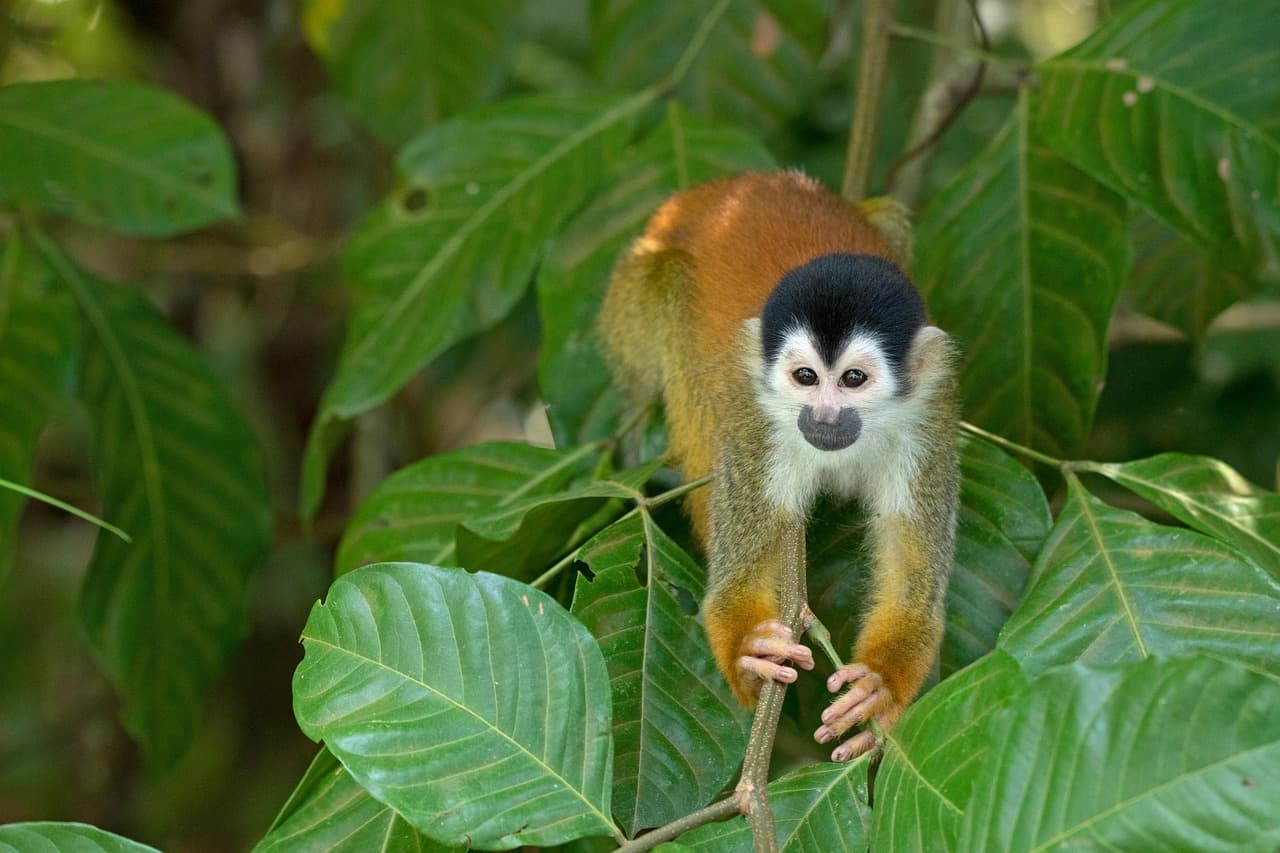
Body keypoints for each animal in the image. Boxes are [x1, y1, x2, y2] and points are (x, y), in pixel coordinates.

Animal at [598, 170, 959, 762]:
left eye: (854, 379)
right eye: (806, 378)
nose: (824, 415)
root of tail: (721, 186)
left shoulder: (932, 415)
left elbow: (913, 583)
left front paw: (879, 688)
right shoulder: (755, 418)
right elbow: (736, 575)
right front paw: (749, 654)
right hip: (631, 306)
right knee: (673, 298)